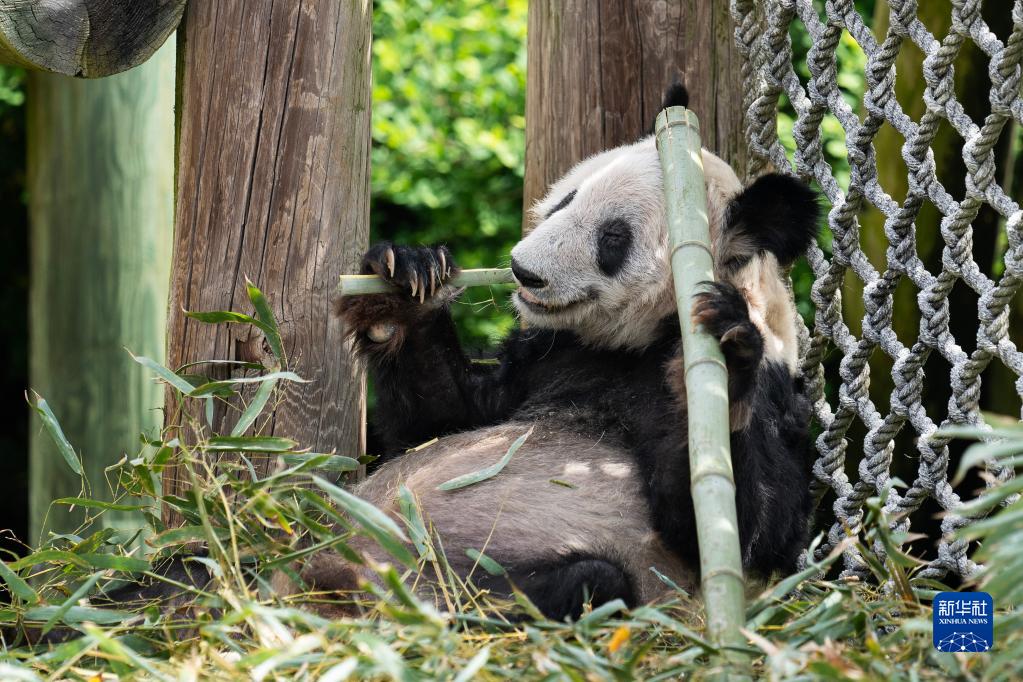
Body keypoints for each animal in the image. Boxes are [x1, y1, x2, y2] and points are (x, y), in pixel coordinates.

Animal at [282, 83, 822, 617]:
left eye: (613, 238)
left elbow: (753, 529)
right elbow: (440, 422)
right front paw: (405, 280)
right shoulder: (550, 355)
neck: (639, 340)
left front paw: (727, 359)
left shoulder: (774, 391)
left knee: (589, 582)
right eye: (567, 199)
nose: (524, 272)